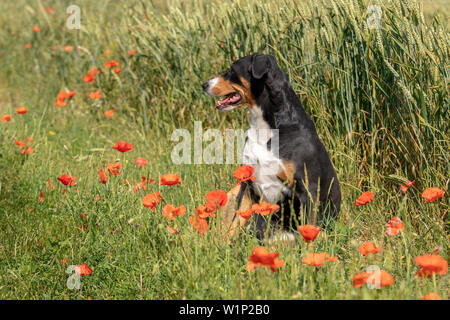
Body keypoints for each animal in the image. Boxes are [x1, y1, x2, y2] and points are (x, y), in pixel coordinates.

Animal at [202, 53, 340, 244]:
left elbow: (308, 231)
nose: (204, 85)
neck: (266, 128)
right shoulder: (247, 185)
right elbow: (235, 223)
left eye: (232, 70)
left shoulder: (308, 189)